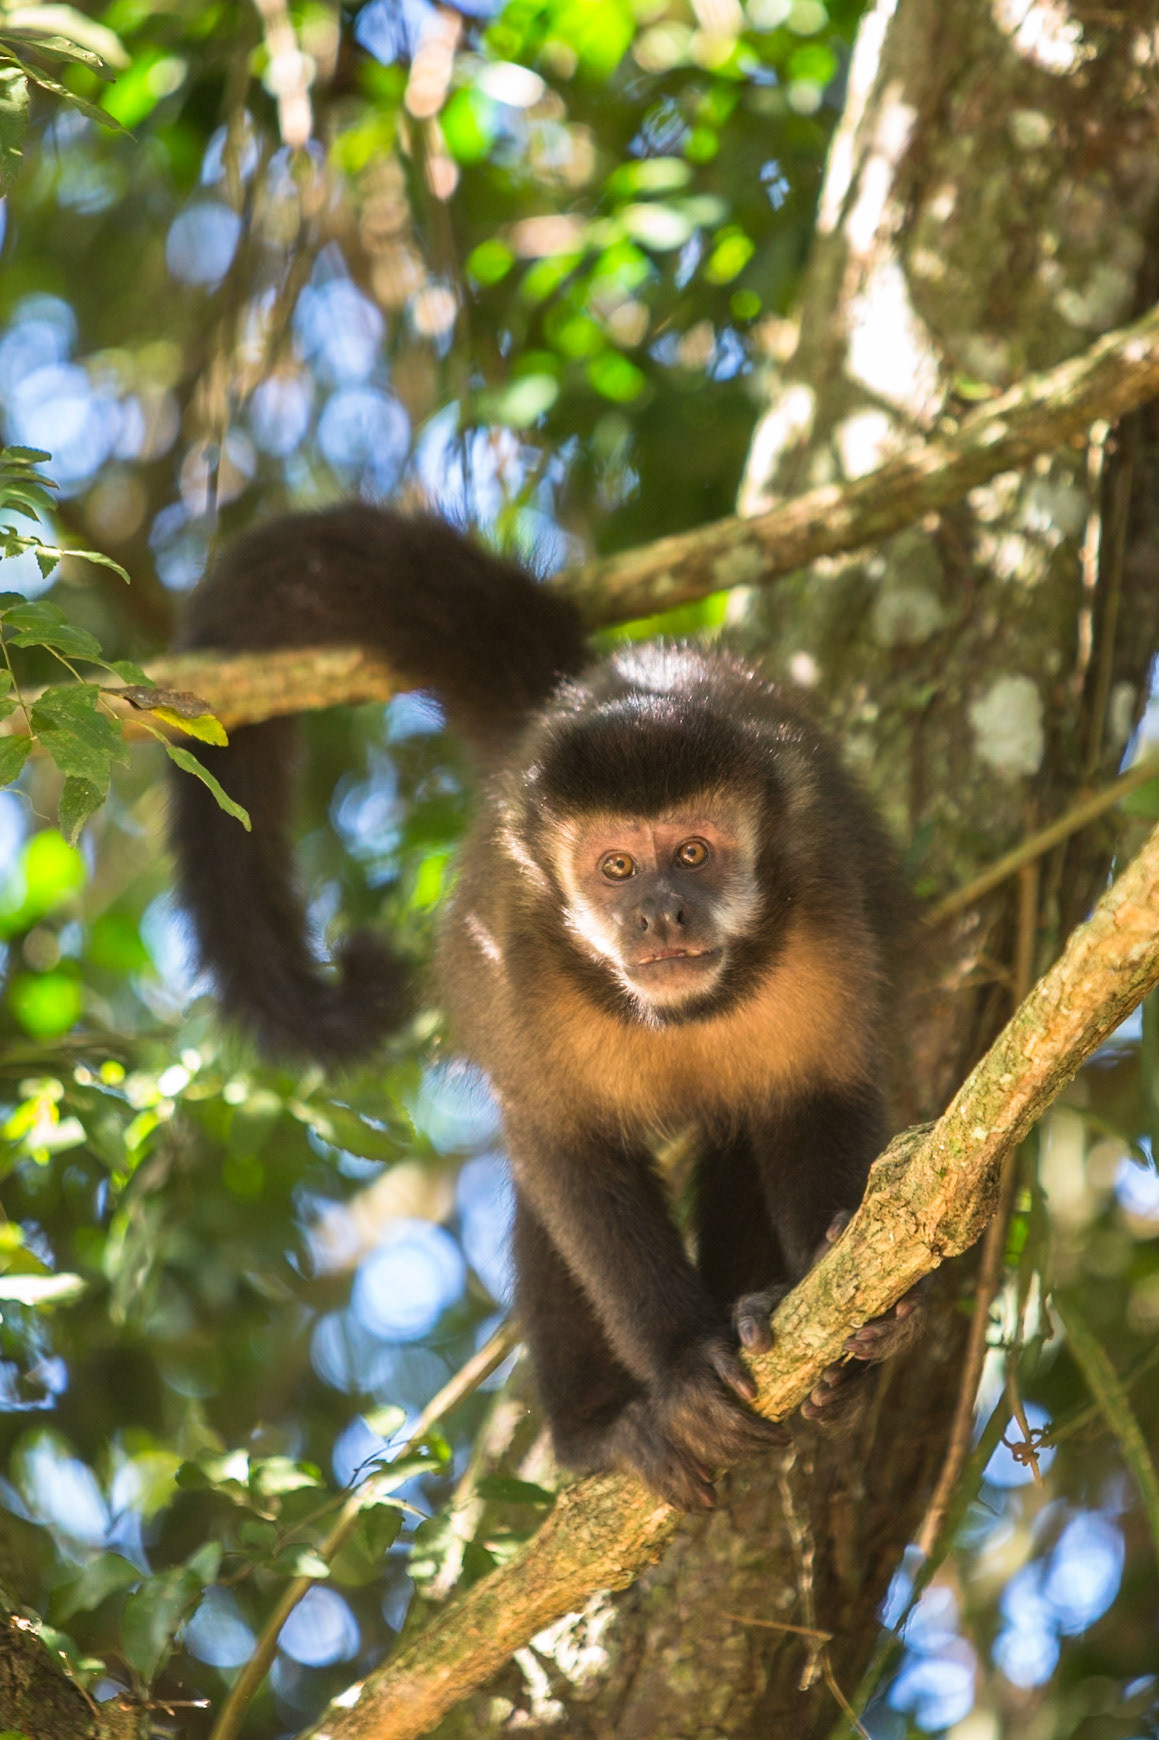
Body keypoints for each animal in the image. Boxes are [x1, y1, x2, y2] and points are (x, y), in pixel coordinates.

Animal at [170, 504, 920, 1512]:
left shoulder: (825, 918)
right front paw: (683, 1364)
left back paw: (773, 1323)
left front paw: (851, 1305)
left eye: (692, 854)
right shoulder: (521, 967)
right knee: (547, 1187)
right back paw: (599, 1426)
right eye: (616, 867)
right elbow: (567, 1155)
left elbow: (813, 1101)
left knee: (736, 1135)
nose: (659, 914)